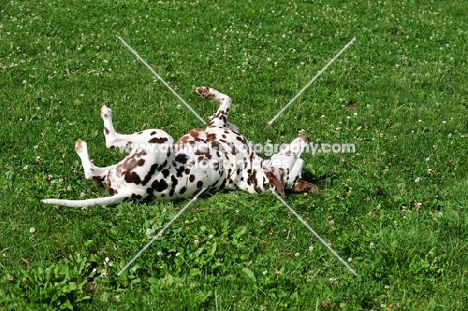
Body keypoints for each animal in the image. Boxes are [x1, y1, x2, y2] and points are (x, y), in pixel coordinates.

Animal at [42, 86, 316, 208]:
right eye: (296, 156)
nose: (307, 138)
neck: (250, 171)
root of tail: (131, 192)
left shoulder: (217, 124)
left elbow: (226, 100)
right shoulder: (220, 123)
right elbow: (227, 100)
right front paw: (206, 92)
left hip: (161, 138)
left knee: (110, 140)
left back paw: (104, 118)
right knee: (92, 171)